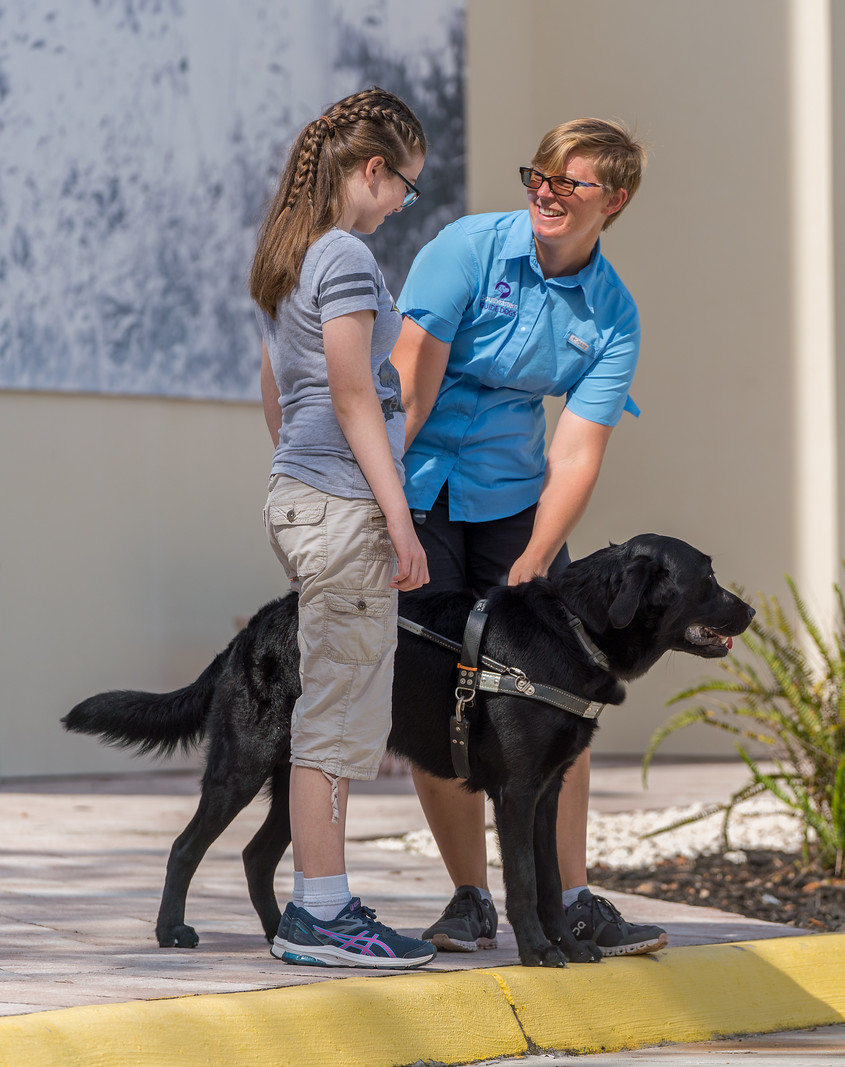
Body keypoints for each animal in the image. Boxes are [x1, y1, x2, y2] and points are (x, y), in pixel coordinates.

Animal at [64, 533, 751, 968]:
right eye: (709, 579)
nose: (748, 610)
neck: (573, 628)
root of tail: (252, 628)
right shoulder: (517, 792)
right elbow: (525, 880)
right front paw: (538, 953)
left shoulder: (549, 791)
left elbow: (553, 877)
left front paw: (575, 947)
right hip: (246, 763)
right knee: (186, 846)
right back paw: (172, 932)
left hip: (302, 770)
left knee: (257, 855)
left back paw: (280, 934)